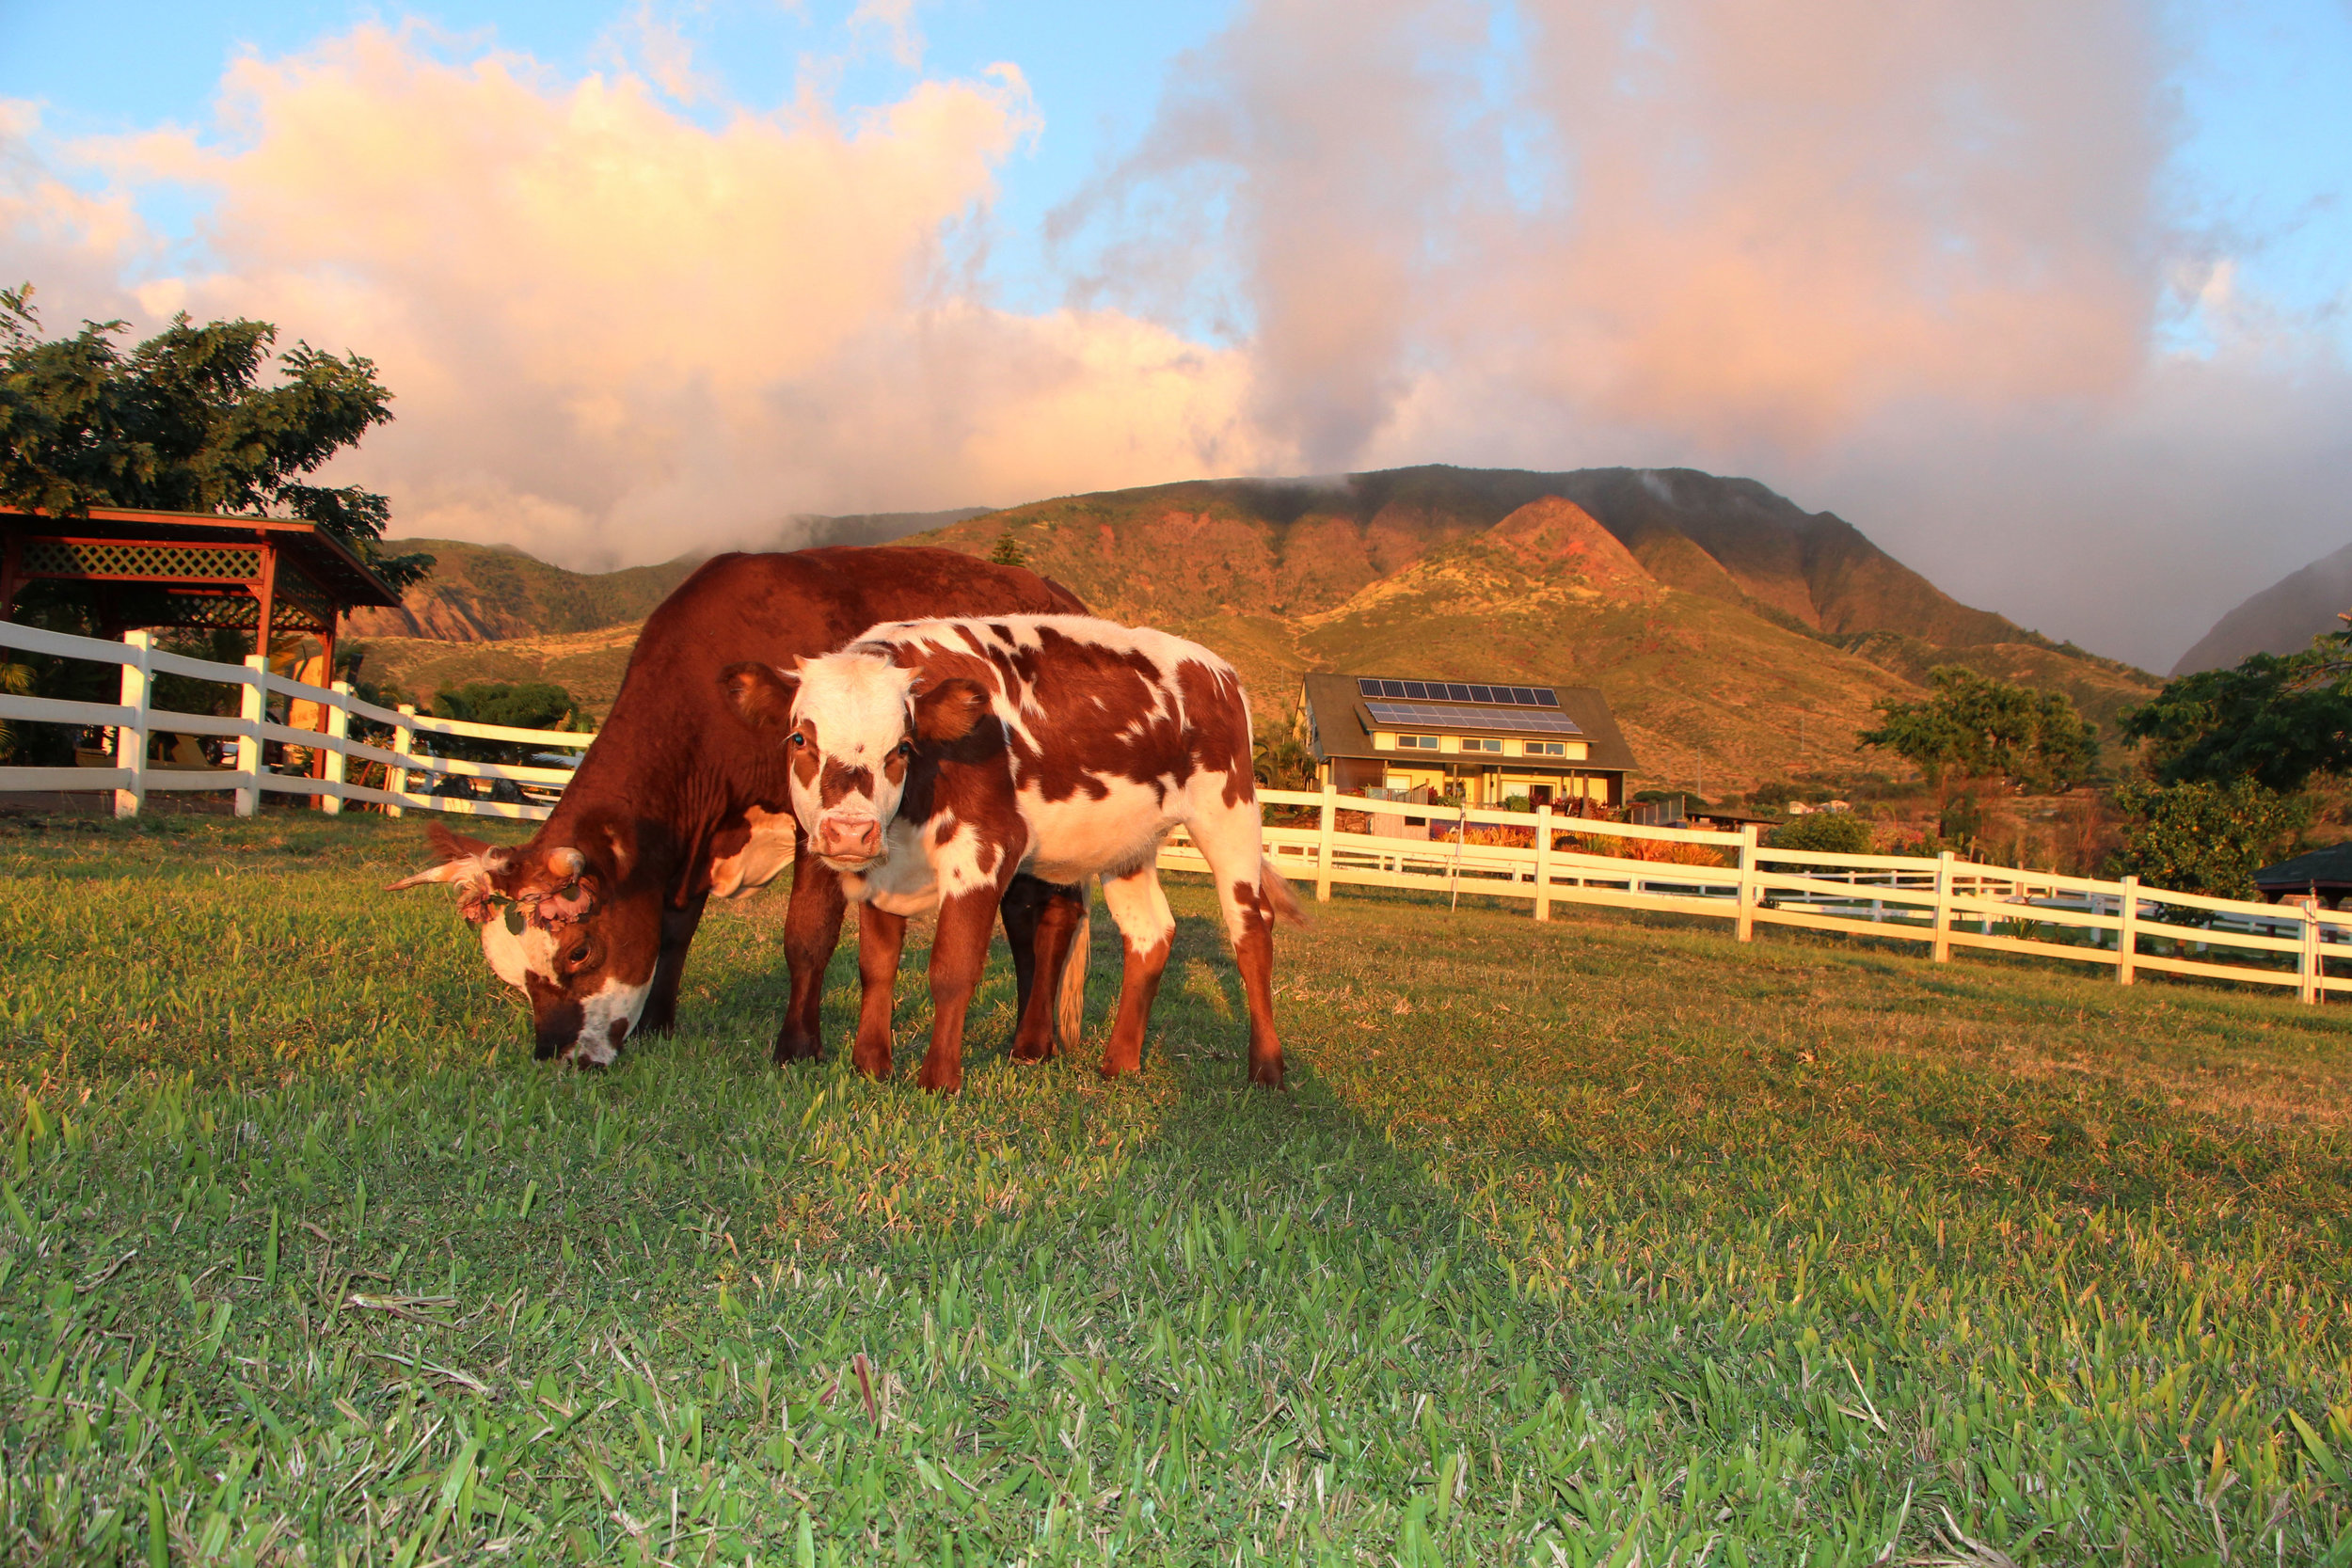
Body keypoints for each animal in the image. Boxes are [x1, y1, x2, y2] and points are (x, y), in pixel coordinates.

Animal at [386, 545, 1091, 1071]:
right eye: (515, 976)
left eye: (579, 951)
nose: (558, 1058)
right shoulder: (694, 833)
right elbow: (674, 926)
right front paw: (658, 1025)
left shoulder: (822, 824)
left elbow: (806, 935)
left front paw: (798, 1047)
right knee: (1024, 918)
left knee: (1049, 916)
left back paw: (1032, 1043)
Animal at [720, 610, 1308, 1090]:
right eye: (800, 739)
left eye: (901, 748)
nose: (850, 831)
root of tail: (1217, 669)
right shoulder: (883, 871)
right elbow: (877, 966)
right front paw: (871, 1065)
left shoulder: (985, 849)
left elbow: (952, 968)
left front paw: (938, 1080)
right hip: (1128, 845)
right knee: (1150, 933)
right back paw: (1120, 1062)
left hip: (1229, 812)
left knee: (1252, 931)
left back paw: (1267, 1069)